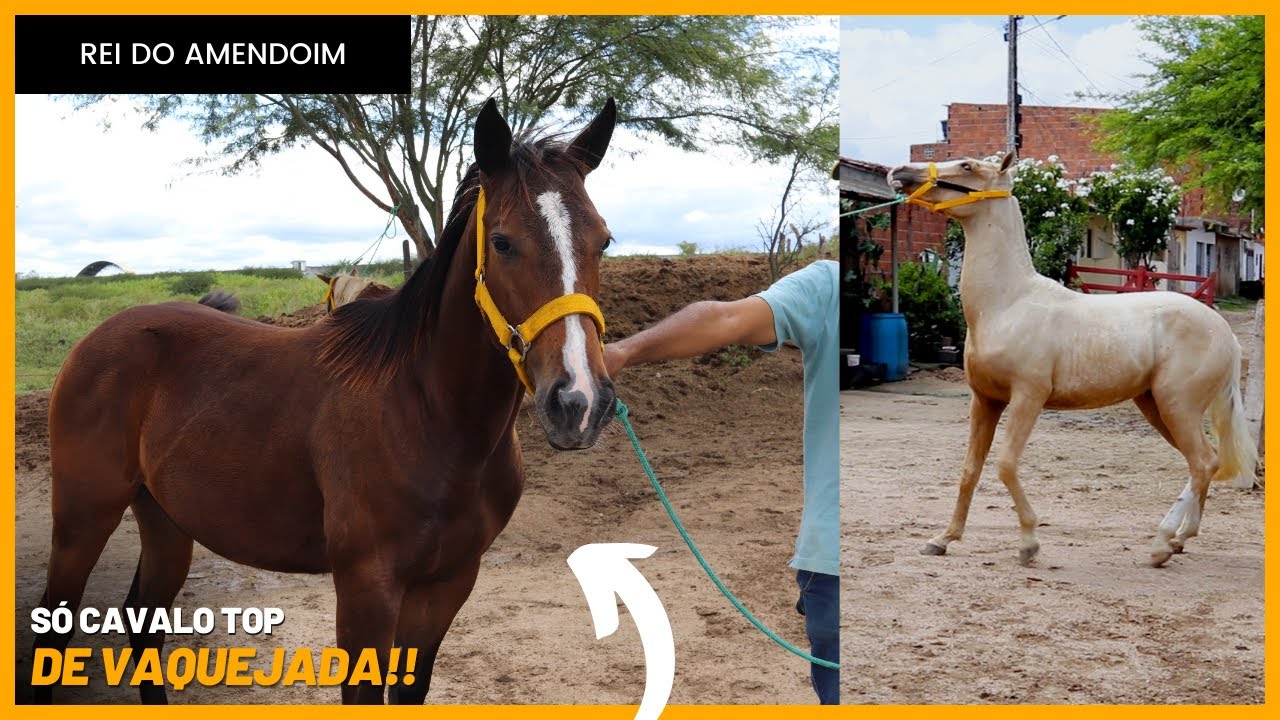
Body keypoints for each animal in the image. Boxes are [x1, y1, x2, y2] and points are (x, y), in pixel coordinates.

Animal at [33, 97, 620, 704]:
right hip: (83, 516)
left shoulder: (448, 584)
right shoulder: (367, 587)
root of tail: (100, 336)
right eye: (502, 242)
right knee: (54, 631)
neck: (431, 415)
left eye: (603, 240)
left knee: (145, 620)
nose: (578, 401)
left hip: (167, 518)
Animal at [888, 153, 1257, 568]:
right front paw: (943, 539)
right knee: (1203, 463)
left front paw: (1029, 543)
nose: (899, 172)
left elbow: (1005, 464)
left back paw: (1162, 544)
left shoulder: (1027, 397)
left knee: (1203, 462)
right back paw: (1180, 539)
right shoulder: (985, 401)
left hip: (1177, 405)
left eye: (967, 166)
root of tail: (1223, 331)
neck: (1007, 304)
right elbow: (970, 469)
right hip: (1157, 406)